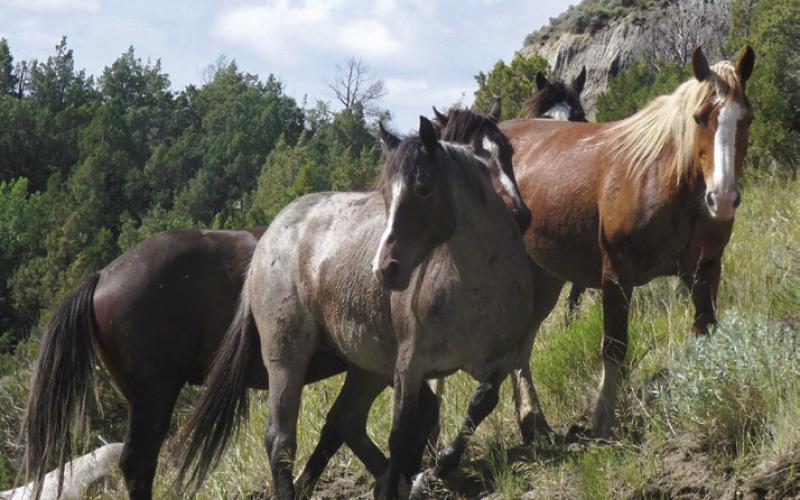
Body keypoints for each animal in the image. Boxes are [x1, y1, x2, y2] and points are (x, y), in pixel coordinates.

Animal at [176, 116, 539, 500]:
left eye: (424, 188)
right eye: (386, 194)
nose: (384, 268)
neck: (476, 286)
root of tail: (268, 239)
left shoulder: (502, 361)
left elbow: (480, 404)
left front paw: (431, 473)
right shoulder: (409, 368)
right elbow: (401, 435)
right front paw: (414, 479)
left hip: (366, 366)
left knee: (343, 421)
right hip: (287, 358)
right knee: (281, 441)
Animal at [503, 46, 755, 439]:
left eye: (747, 119)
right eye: (699, 118)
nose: (723, 199)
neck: (663, 179)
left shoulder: (705, 270)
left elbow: (705, 333)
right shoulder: (617, 275)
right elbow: (614, 346)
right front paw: (602, 419)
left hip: (544, 276)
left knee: (522, 341)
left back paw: (533, 420)